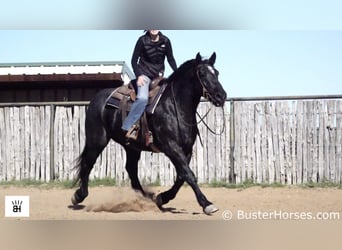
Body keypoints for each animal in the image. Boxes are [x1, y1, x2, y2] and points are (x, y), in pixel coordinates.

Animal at [72, 51, 227, 214]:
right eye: (202, 73)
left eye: (216, 73)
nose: (221, 96)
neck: (174, 106)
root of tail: (96, 99)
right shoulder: (171, 147)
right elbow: (188, 175)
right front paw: (206, 203)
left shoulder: (186, 149)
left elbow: (181, 176)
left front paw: (162, 198)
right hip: (97, 140)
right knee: (87, 164)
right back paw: (79, 196)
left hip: (132, 147)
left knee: (131, 170)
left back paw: (146, 198)